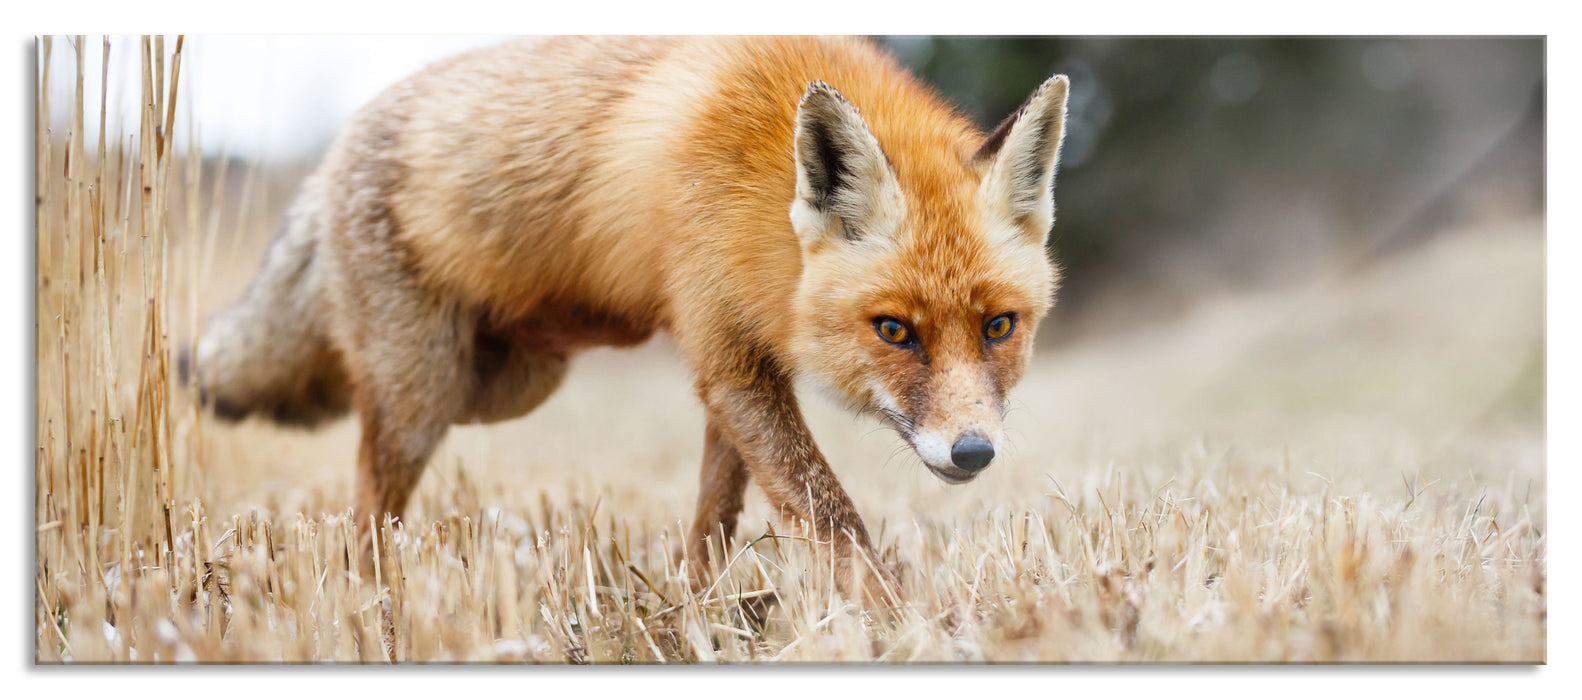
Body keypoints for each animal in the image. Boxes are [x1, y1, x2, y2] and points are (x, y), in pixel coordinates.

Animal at [191, 36, 1069, 608]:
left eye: (999, 327)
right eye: (894, 331)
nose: (973, 451)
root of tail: (329, 156)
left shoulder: (740, 367)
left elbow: (716, 519)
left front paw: (695, 611)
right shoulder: (728, 360)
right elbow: (831, 517)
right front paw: (901, 625)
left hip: (507, 383)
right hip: (423, 398)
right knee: (366, 507)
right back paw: (370, 601)